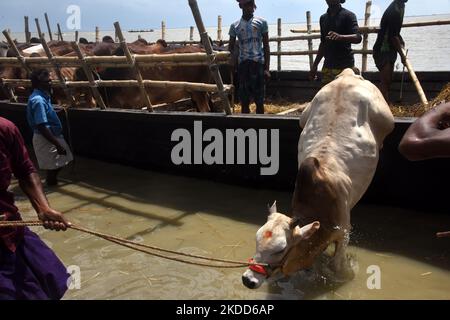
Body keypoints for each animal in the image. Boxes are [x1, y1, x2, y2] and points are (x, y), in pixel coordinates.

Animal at [243, 69, 394, 288]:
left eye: (280, 249)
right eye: (257, 240)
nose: (248, 279)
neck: (319, 204)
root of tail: (347, 75)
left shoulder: (344, 232)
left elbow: (337, 266)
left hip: (387, 117)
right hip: (304, 116)